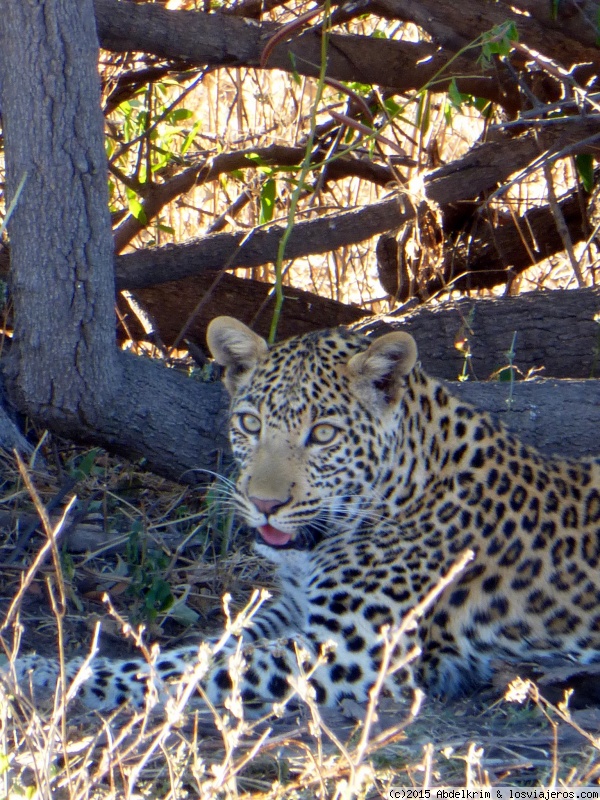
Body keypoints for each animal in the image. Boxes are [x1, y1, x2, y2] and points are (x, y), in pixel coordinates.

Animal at [4, 312, 600, 712]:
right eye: (250, 424)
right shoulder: (292, 609)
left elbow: (204, 668)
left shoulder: (354, 651)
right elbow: (202, 648)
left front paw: (56, 678)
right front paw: (43, 663)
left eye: (323, 434)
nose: (265, 504)